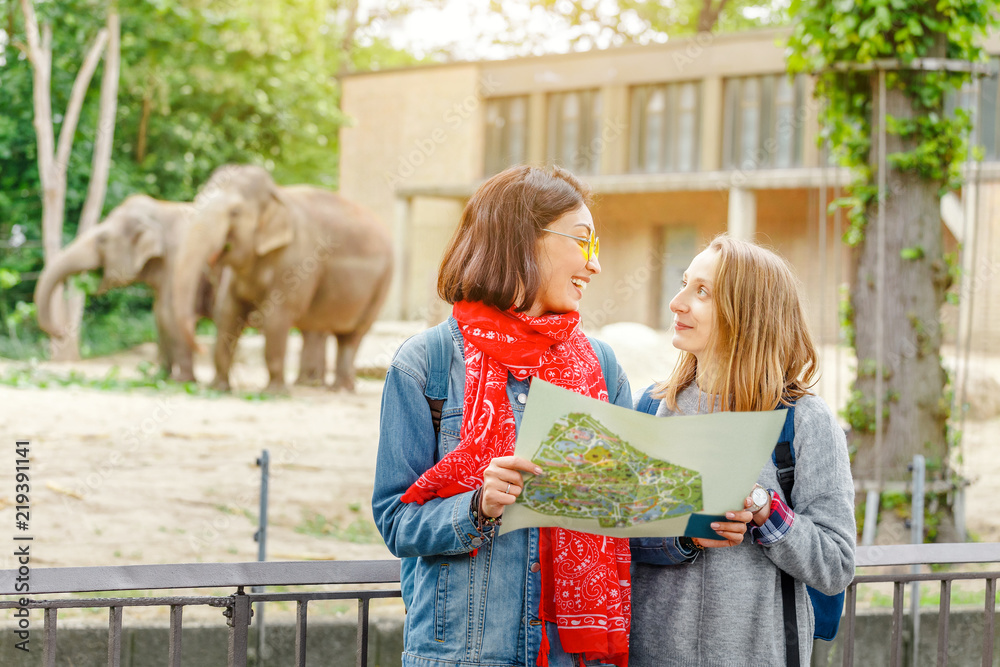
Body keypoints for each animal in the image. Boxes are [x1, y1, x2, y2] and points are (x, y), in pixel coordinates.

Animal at [172, 165, 394, 394]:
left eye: (235, 212)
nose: (200, 347)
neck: (277, 194)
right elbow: (227, 313)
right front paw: (219, 388)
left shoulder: (297, 258)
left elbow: (277, 316)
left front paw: (274, 393)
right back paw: (314, 385)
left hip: (382, 284)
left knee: (352, 334)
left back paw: (339, 389)